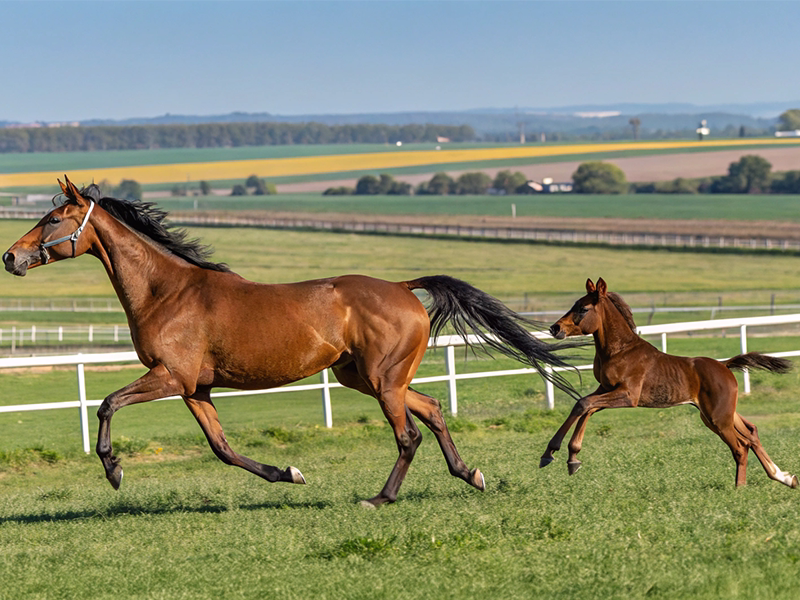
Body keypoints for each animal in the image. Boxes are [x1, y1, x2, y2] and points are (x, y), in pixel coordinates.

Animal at [3, 176, 579, 506]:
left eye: (53, 218)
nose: (11, 257)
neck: (166, 291)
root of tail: (402, 287)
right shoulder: (195, 389)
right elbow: (223, 449)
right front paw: (289, 473)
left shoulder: (169, 377)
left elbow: (105, 405)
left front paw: (114, 471)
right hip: (366, 378)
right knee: (433, 409)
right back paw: (471, 475)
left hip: (381, 381)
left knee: (408, 435)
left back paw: (380, 499)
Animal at [540, 277, 797, 489]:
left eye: (583, 308)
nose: (555, 328)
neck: (620, 350)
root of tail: (725, 366)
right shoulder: (605, 389)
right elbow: (586, 407)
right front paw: (571, 457)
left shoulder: (628, 395)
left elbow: (583, 404)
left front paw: (552, 454)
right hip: (716, 415)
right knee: (751, 432)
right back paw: (785, 478)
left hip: (718, 418)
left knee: (740, 447)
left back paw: (740, 489)